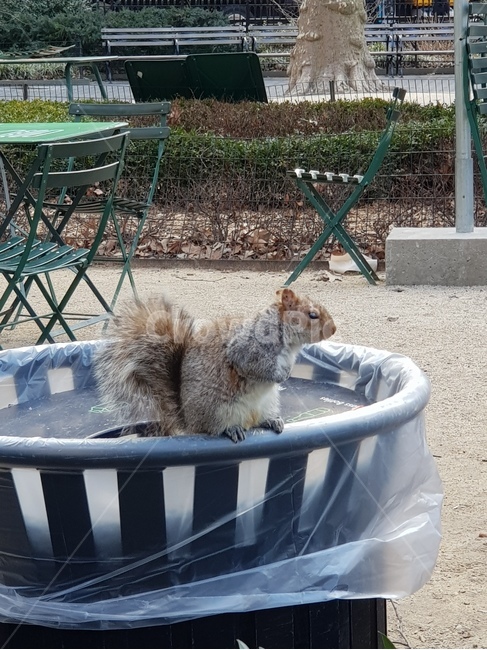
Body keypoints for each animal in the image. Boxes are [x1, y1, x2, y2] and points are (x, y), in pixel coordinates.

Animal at [94, 288, 336, 443]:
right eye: (312, 315)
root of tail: (188, 422)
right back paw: (231, 430)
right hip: (217, 410)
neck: (289, 342)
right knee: (212, 429)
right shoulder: (248, 349)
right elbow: (253, 366)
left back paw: (271, 421)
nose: (333, 329)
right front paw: (281, 376)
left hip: (266, 403)